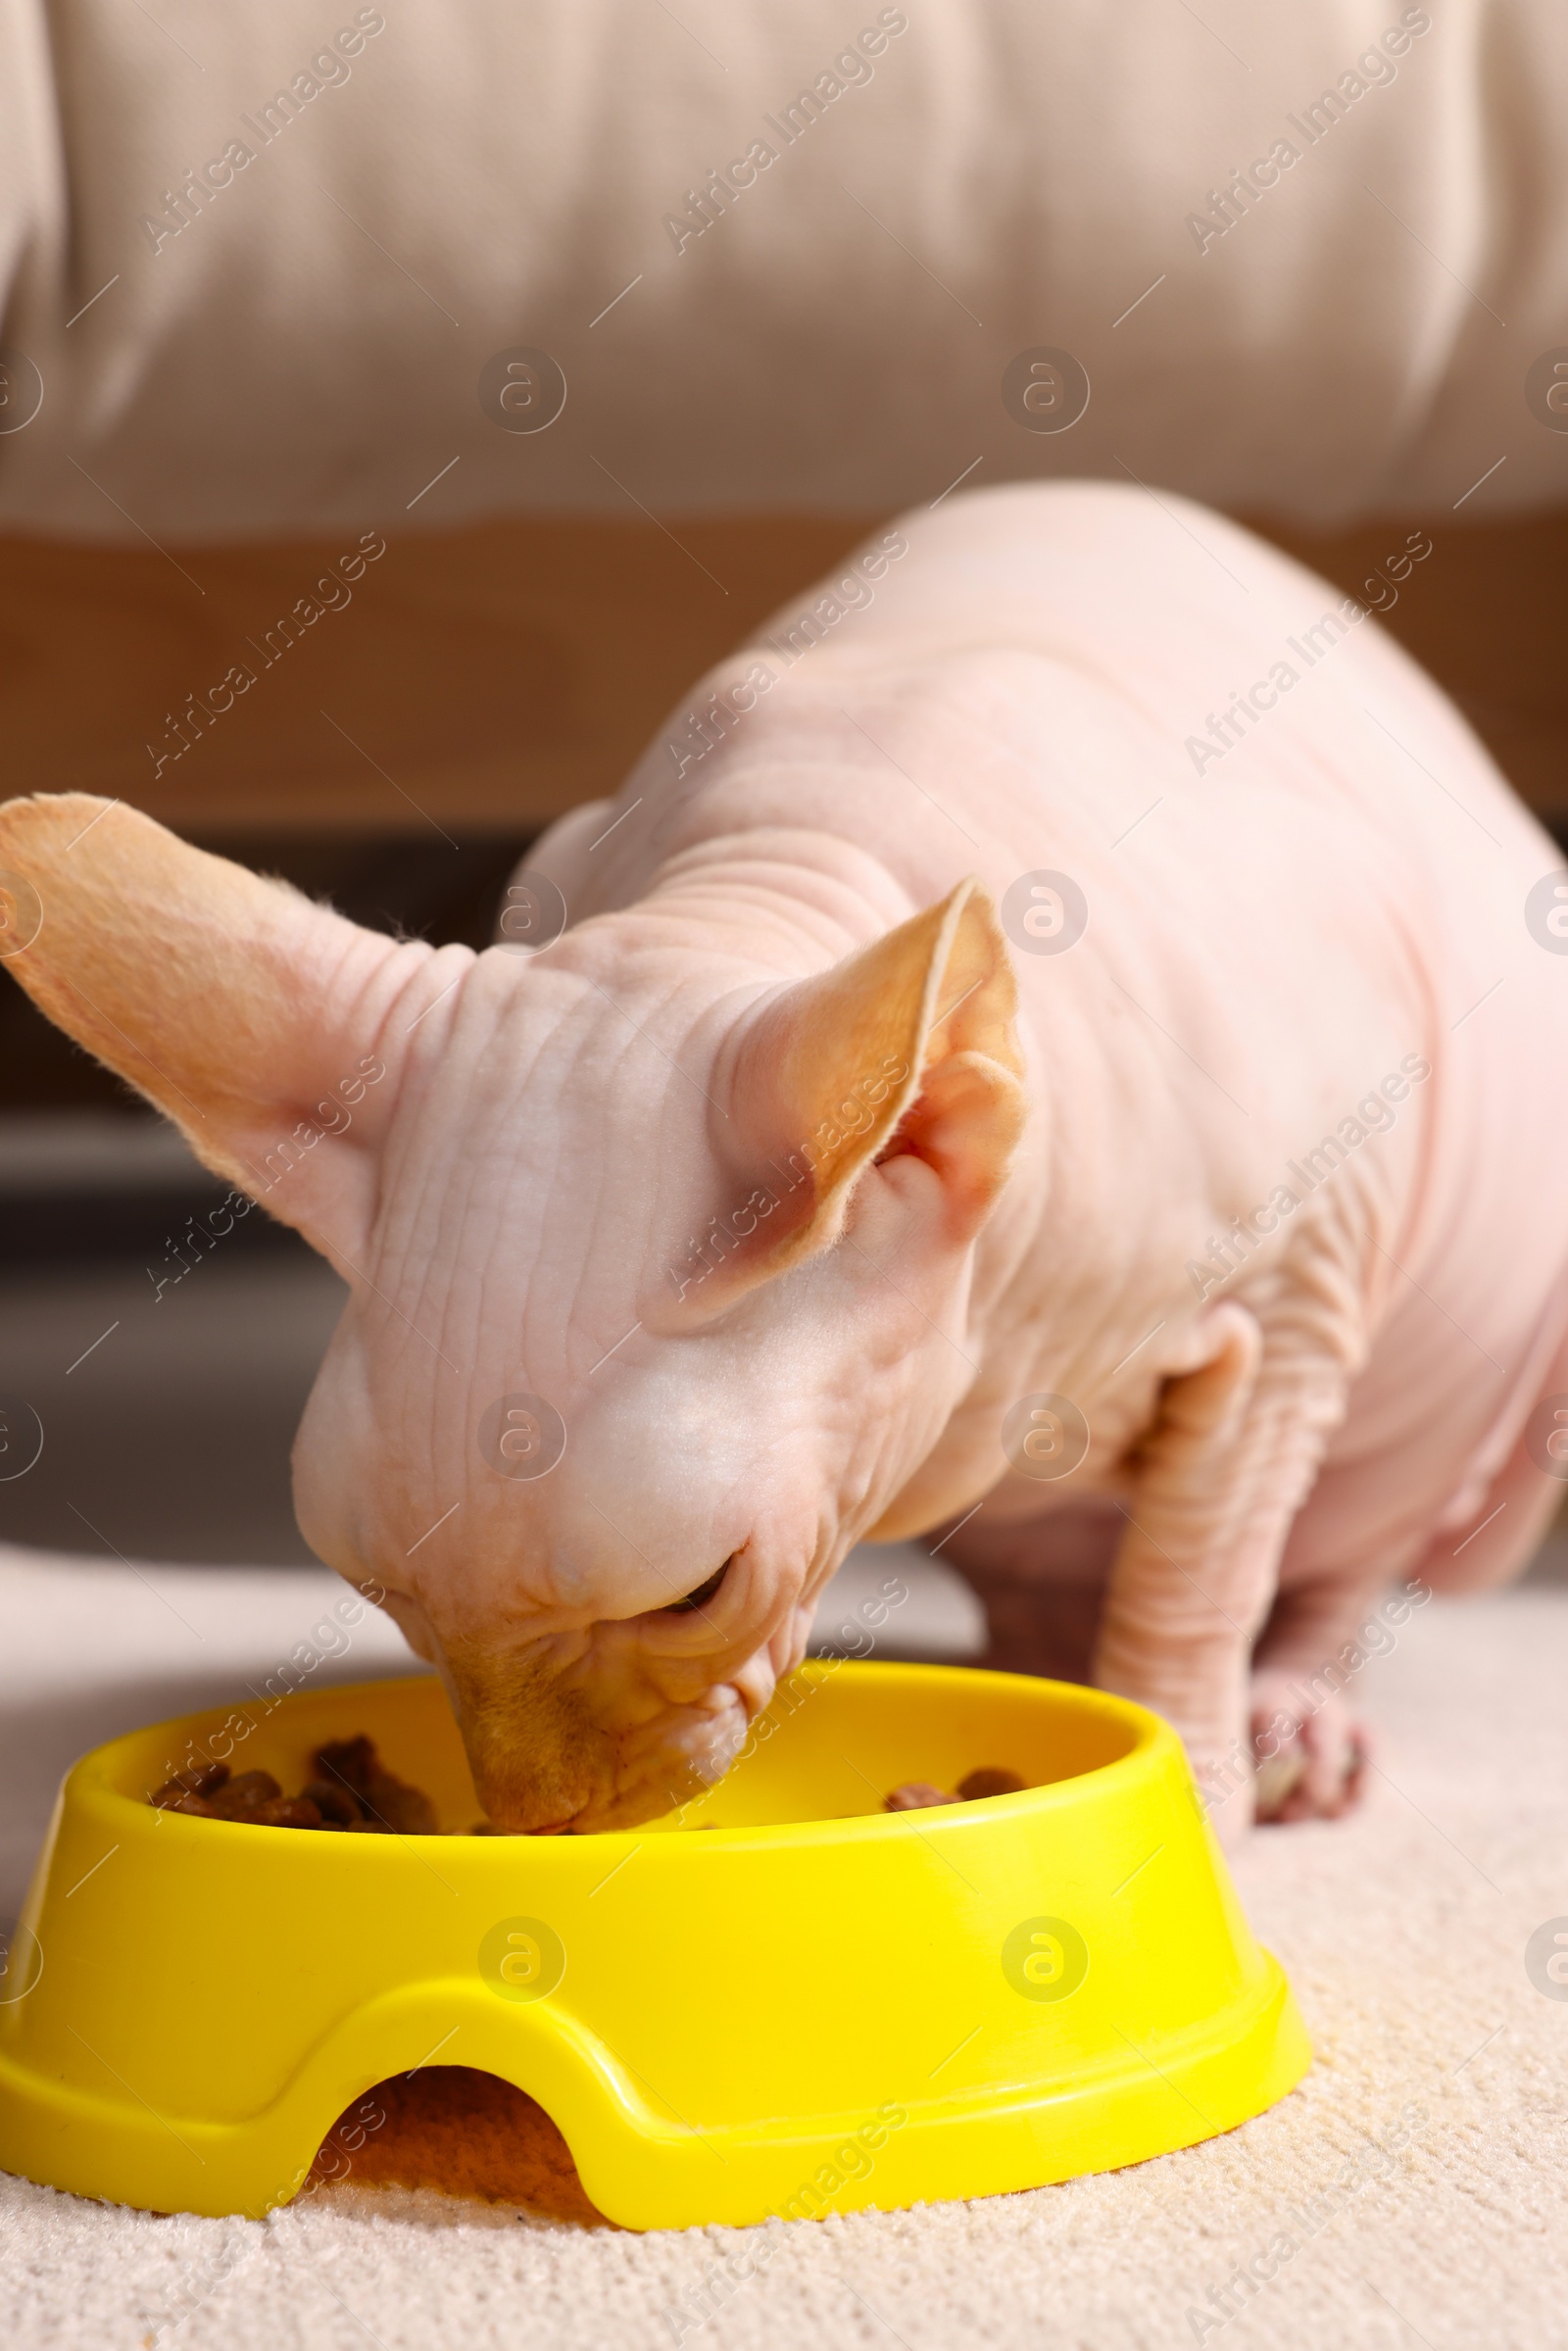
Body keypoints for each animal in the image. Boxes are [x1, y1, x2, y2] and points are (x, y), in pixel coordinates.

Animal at [3, 481, 1568, 1834]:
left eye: (697, 1592)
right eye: (376, 1590)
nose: (539, 1818)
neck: (777, 875)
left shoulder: (1298, 1287)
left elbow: (1200, 1575)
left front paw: (1192, 1767)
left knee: (1335, 1562)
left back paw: (1293, 1715)